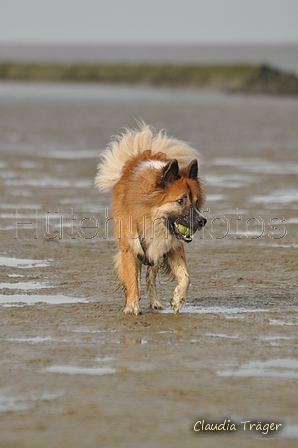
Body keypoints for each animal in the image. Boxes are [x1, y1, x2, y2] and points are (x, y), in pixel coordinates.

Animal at [94, 123, 206, 316]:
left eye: (196, 201)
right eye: (180, 200)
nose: (202, 221)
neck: (150, 215)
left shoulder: (171, 246)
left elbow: (185, 276)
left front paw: (178, 300)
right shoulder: (130, 248)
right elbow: (132, 279)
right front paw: (132, 306)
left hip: (155, 254)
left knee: (150, 278)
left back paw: (155, 302)